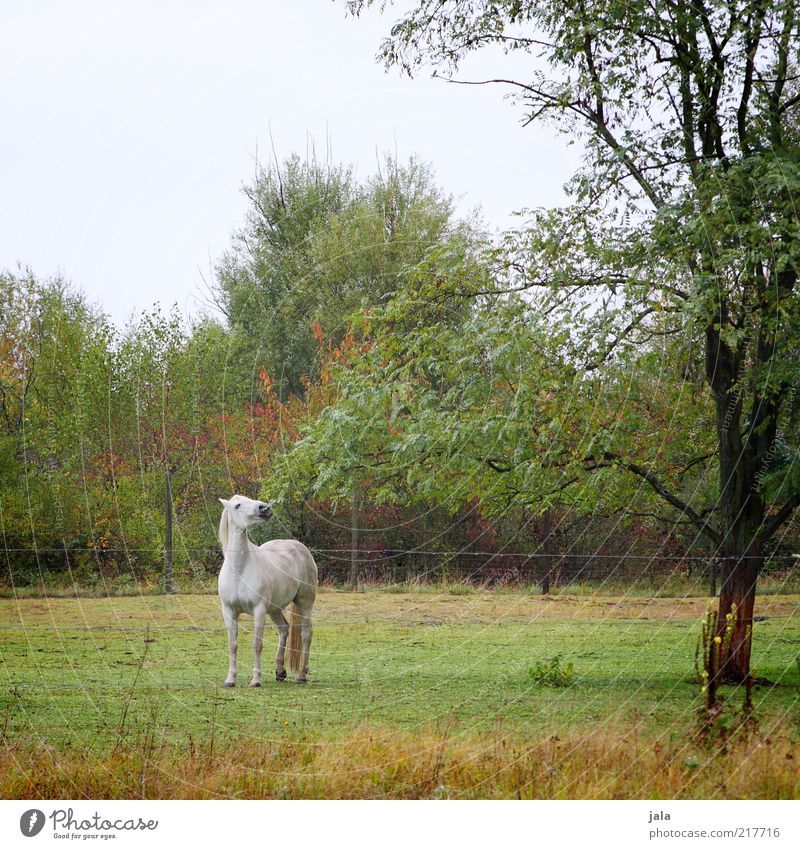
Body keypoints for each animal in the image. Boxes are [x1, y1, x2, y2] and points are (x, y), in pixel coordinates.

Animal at [219, 494, 318, 684]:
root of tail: (300, 547)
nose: (264, 508)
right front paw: (230, 679)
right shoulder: (229, 611)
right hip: (274, 609)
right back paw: (280, 671)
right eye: (237, 505)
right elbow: (232, 645)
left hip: (304, 603)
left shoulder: (259, 611)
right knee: (284, 629)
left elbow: (257, 645)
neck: (239, 570)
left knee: (306, 634)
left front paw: (256, 680)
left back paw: (302, 675)